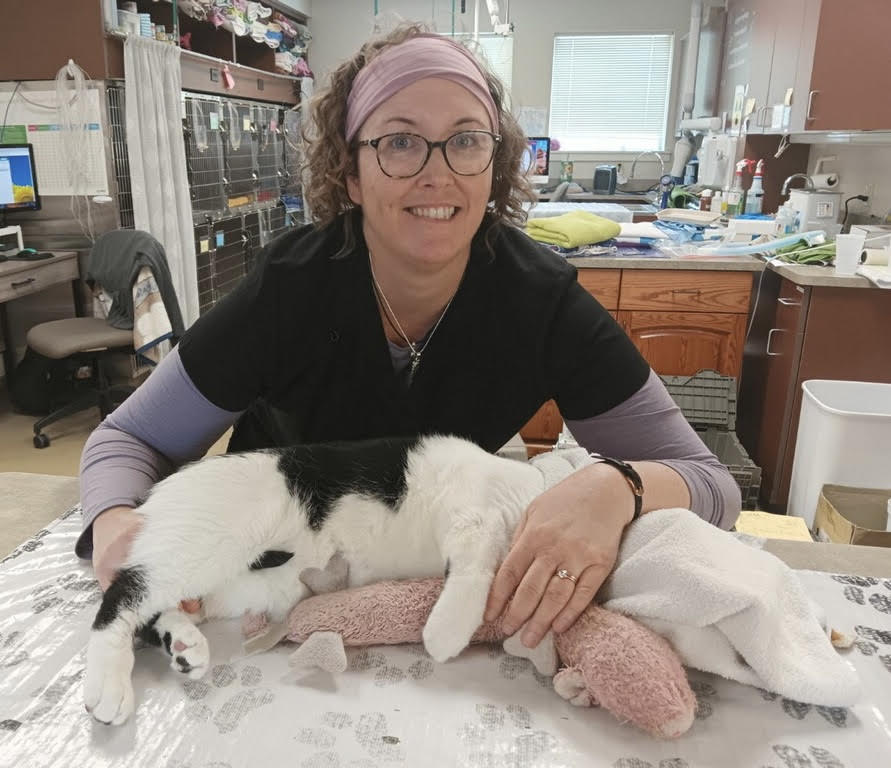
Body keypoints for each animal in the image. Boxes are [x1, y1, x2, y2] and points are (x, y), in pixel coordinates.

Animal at [85, 436, 584, 724]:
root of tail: (153, 498)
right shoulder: (473, 515)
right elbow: (478, 558)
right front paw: (446, 632)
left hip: (237, 585)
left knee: (164, 609)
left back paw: (185, 644)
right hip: (206, 541)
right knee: (124, 595)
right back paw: (108, 683)